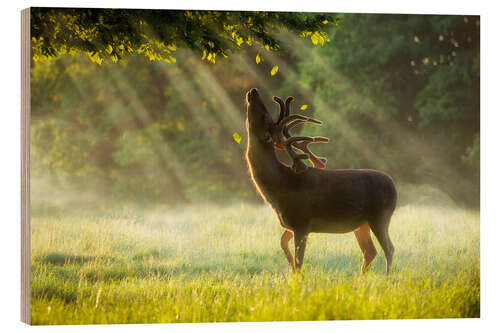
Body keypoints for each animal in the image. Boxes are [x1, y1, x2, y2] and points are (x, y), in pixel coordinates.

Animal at [244, 87, 396, 274]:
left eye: (266, 116)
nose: (254, 90)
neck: (279, 186)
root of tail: (394, 187)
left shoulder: (301, 222)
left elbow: (299, 262)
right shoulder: (291, 225)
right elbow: (284, 246)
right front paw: (289, 269)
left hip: (380, 216)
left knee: (389, 249)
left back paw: (387, 278)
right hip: (362, 224)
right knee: (370, 251)